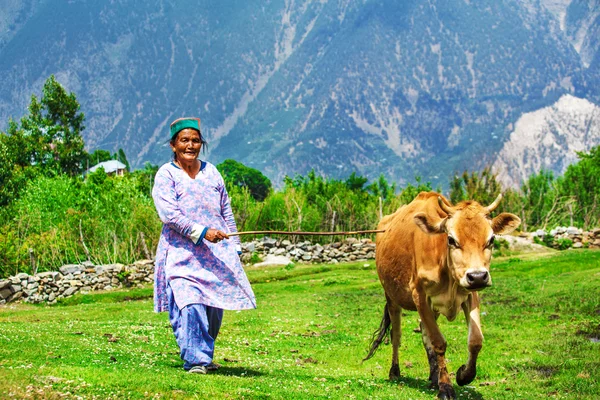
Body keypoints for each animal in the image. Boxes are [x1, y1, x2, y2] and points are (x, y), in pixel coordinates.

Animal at [364, 192, 524, 398]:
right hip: (392, 298)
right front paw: (446, 387)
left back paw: (434, 378)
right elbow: (439, 342)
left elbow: (475, 341)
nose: (477, 276)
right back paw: (395, 371)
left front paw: (463, 375)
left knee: (425, 335)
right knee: (396, 335)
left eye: (491, 240)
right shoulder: (419, 295)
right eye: (451, 239)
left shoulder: (470, 294)